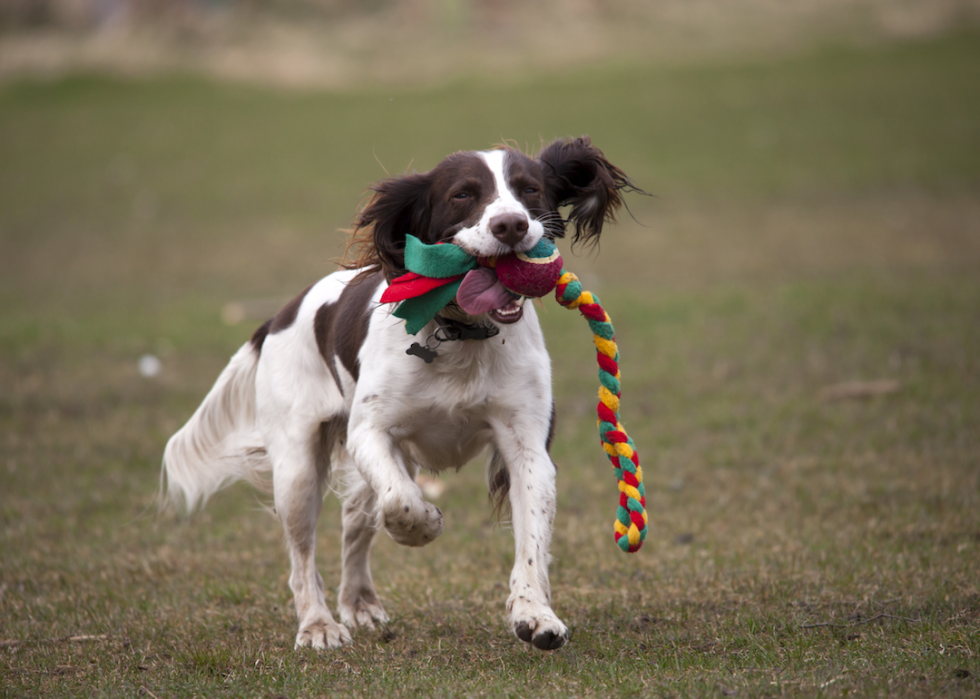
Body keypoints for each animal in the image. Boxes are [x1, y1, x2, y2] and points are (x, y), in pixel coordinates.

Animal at [161, 135, 636, 652]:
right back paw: (318, 624)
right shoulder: (370, 433)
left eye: (529, 188)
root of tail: (279, 314)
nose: (510, 225)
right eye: (463, 195)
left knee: (354, 524)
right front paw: (424, 526)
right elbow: (401, 502)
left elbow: (531, 541)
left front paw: (535, 615)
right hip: (297, 468)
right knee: (303, 555)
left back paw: (360, 604)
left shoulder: (527, 446)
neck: (461, 336)